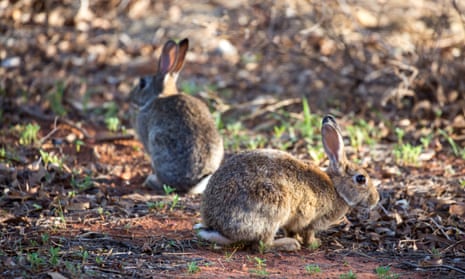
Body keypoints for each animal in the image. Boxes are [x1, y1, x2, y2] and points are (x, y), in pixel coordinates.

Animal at [130, 38, 224, 195]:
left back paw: (150, 181)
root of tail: (195, 182)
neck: (159, 96)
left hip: (159, 146)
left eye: (142, 83)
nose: (130, 97)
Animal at [194, 115, 378, 253]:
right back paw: (289, 244)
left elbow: (292, 229)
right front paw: (313, 243)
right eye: (361, 179)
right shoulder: (312, 220)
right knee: (262, 245)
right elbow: (308, 233)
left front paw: (297, 238)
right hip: (272, 207)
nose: (376, 199)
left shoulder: (294, 221)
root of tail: (217, 227)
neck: (336, 188)